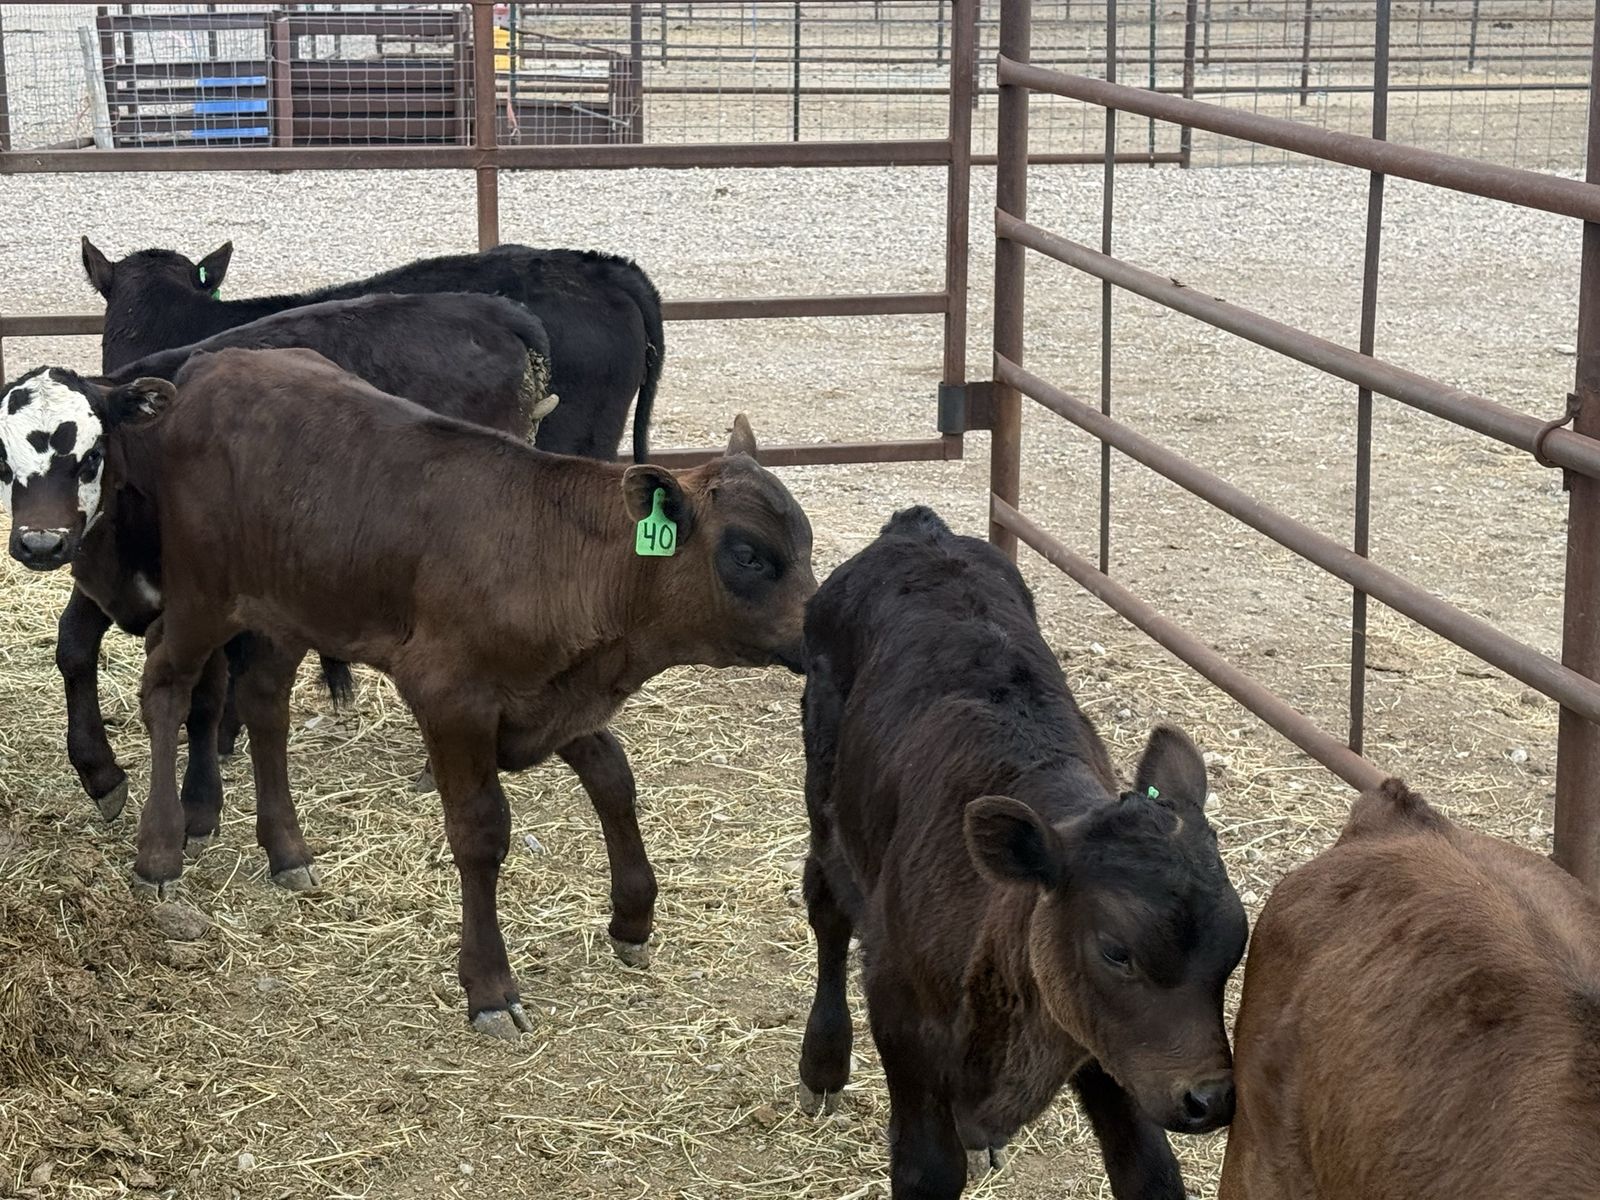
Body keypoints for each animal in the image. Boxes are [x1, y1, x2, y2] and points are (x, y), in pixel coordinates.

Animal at [2, 291, 555, 840]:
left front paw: (200, 801)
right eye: (4, 462)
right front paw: (101, 772)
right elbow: (75, 646)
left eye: (92, 454)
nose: (40, 544)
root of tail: (490, 309)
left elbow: (207, 690)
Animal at [118, 346, 814, 1037]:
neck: (563, 559)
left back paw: (287, 850)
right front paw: (489, 986)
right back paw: (159, 853)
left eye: (805, 544)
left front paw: (633, 918)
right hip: (202, 596)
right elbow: (481, 831)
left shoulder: (555, 700)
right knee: (165, 683)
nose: (822, 625)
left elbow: (614, 778)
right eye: (749, 556)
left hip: (289, 607)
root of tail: (216, 364)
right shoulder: (453, 700)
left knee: (265, 701)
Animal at [797, 506, 1246, 1199]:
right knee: (825, 903)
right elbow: (928, 1170)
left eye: (1237, 948)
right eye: (1115, 951)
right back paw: (823, 1061)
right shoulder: (899, 1010)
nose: (1210, 1098)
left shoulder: (1099, 1039)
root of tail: (918, 529)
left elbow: (1150, 1172)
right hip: (827, 803)